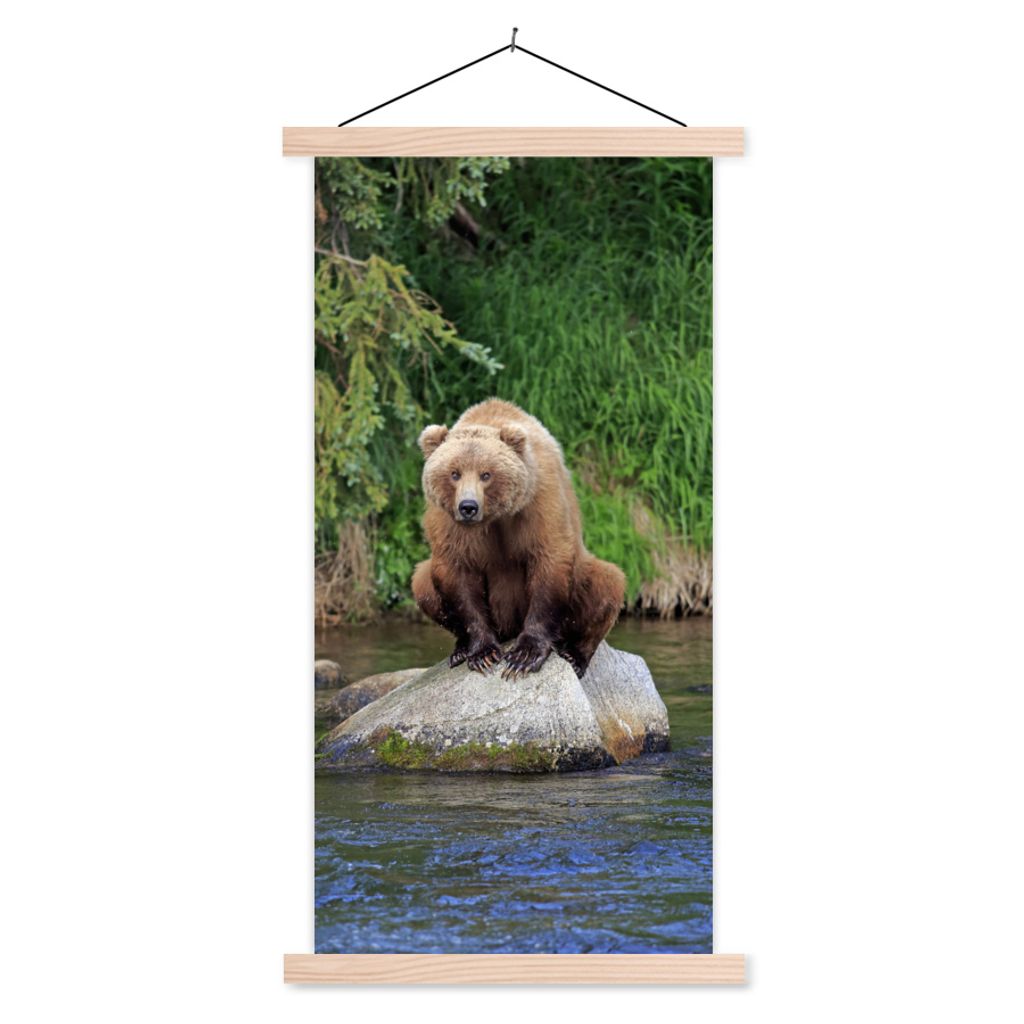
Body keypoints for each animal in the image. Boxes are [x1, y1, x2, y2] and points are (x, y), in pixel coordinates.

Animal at [410, 398, 626, 679]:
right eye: (454, 473)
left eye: (486, 474)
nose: (468, 507)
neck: (495, 517)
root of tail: (508, 630)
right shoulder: (448, 522)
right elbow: (457, 573)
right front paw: (482, 653)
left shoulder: (538, 502)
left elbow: (550, 560)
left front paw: (524, 655)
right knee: (422, 582)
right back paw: (459, 650)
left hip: (583, 580)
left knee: (606, 582)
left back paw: (574, 654)